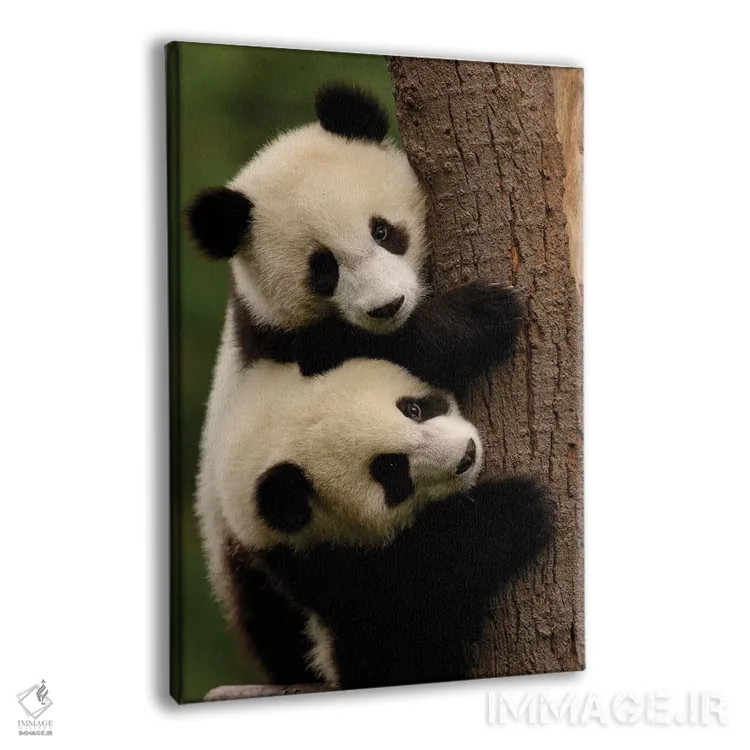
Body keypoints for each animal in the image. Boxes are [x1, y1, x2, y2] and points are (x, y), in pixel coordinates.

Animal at [200, 358, 553, 690]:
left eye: (413, 409)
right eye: (392, 471)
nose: (466, 455)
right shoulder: (318, 570)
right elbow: (398, 626)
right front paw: (512, 511)